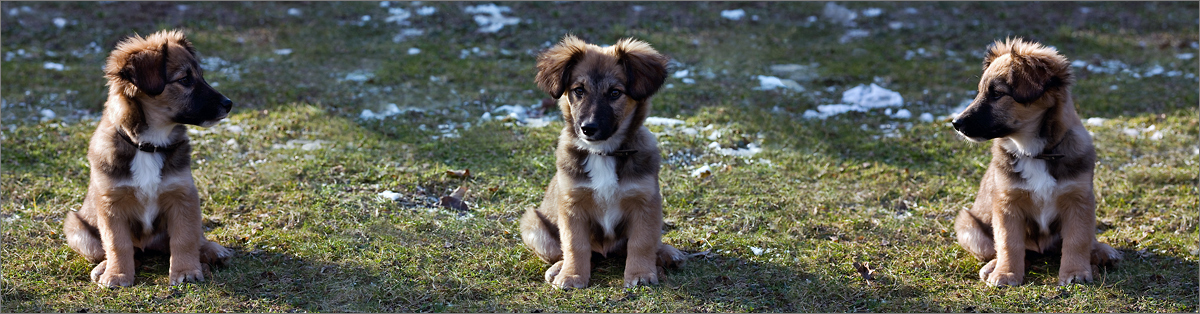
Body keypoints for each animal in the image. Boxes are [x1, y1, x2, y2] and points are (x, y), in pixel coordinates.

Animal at [63, 30, 234, 288]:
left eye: (201, 77)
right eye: (185, 79)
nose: (229, 104)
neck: (149, 145)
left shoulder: (183, 196)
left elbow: (184, 238)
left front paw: (186, 271)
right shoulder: (111, 204)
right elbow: (117, 244)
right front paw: (117, 274)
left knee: (193, 239)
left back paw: (212, 251)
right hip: (76, 227)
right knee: (120, 251)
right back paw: (104, 268)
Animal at [520, 34, 691, 290]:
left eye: (614, 93)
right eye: (579, 90)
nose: (588, 128)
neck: (603, 153)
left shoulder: (646, 202)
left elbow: (642, 242)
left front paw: (640, 273)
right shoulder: (572, 205)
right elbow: (574, 245)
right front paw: (572, 275)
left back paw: (667, 254)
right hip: (533, 224)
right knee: (566, 251)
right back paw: (559, 268)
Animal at [950, 36, 1118, 286]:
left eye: (997, 93)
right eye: (979, 92)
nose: (956, 123)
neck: (1035, 152)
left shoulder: (1079, 200)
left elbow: (1077, 239)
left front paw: (1075, 272)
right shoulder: (1007, 203)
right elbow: (1008, 243)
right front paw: (1006, 273)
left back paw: (1101, 252)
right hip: (967, 225)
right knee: (1003, 250)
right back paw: (992, 267)